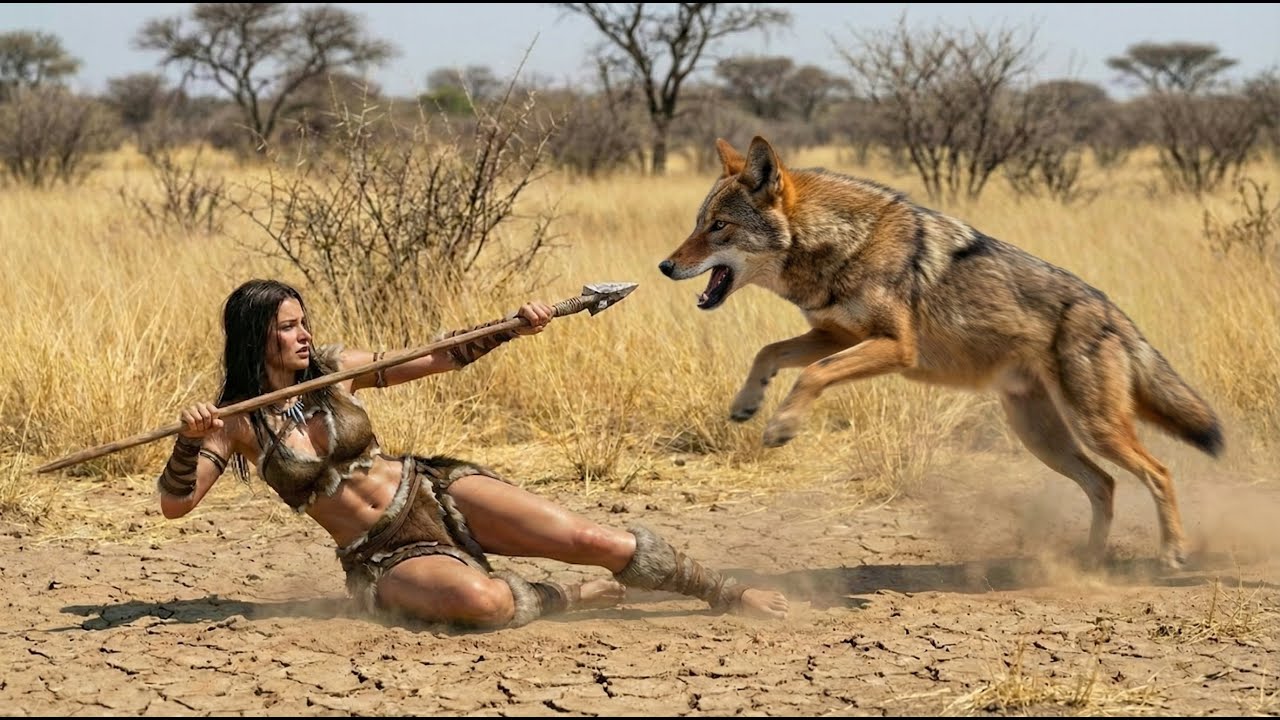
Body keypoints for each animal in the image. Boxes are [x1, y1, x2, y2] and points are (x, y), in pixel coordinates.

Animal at [658, 135, 1223, 569]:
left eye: (719, 227)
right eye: (698, 222)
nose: (664, 266)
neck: (842, 243)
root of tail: (1112, 312)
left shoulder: (893, 347)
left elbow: (812, 375)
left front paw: (783, 425)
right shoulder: (836, 335)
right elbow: (769, 353)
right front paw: (748, 404)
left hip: (1093, 428)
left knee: (1158, 472)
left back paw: (1172, 554)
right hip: (1044, 438)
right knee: (1104, 484)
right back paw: (1087, 562)